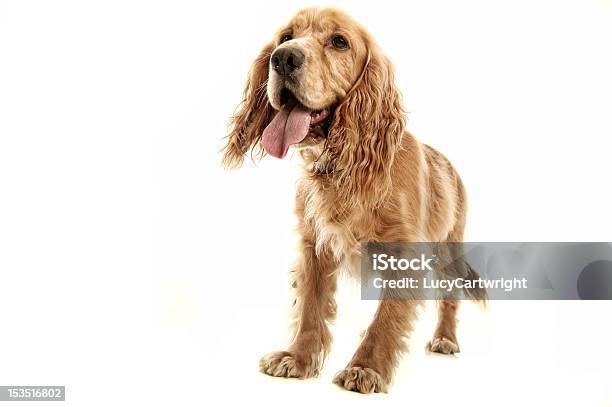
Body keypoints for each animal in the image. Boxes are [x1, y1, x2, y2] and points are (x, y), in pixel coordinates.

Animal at [222, 7, 486, 396]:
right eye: (286, 37)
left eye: (339, 42)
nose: (283, 58)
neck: (344, 168)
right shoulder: (314, 245)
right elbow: (310, 309)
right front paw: (298, 358)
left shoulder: (405, 254)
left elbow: (387, 318)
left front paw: (365, 368)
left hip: (449, 249)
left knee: (450, 299)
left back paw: (445, 338)